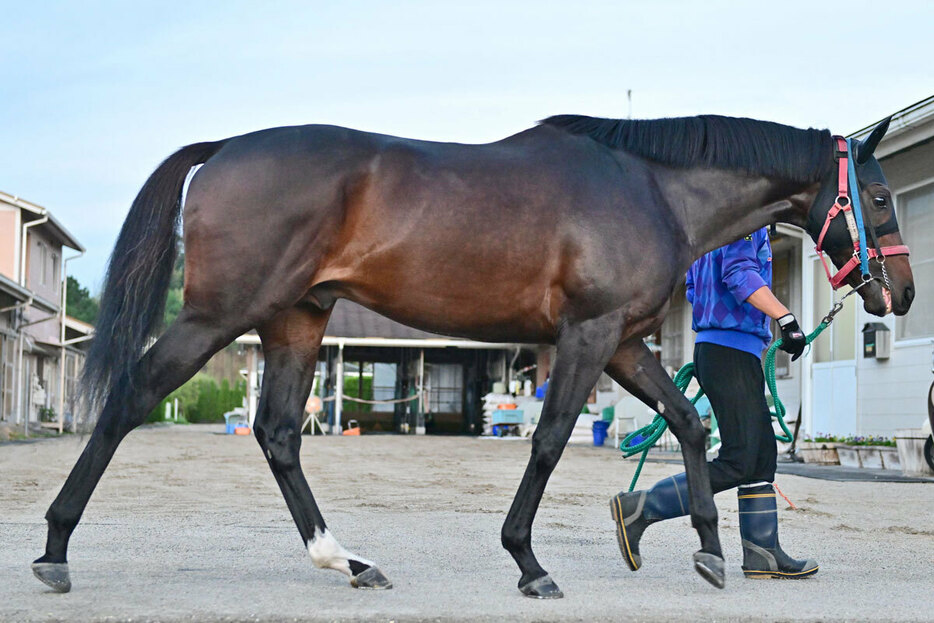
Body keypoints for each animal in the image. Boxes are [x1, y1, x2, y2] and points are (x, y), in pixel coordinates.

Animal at [31, 113, 916, 600]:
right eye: (877, 197)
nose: (900, 294)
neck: (651, 188)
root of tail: (221, 149)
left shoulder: (625, 341)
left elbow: (690, 427)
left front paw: (703, 546)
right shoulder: (589, 335)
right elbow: (550, 439)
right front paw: (528, 561)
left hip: (296, 322)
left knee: (279, 433)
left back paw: (347, 560)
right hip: (223, 314)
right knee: (131, 400)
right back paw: (54, 550)